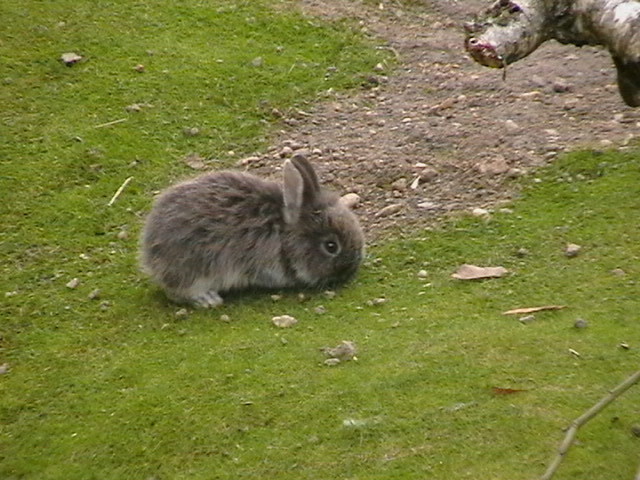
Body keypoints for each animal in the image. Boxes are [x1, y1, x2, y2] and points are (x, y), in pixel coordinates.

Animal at [139, 158, 364, 308]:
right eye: (331, 246)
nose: (351, 269)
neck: (283, 232)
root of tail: (149, 252)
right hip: (193, 267)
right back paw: (208, 299)